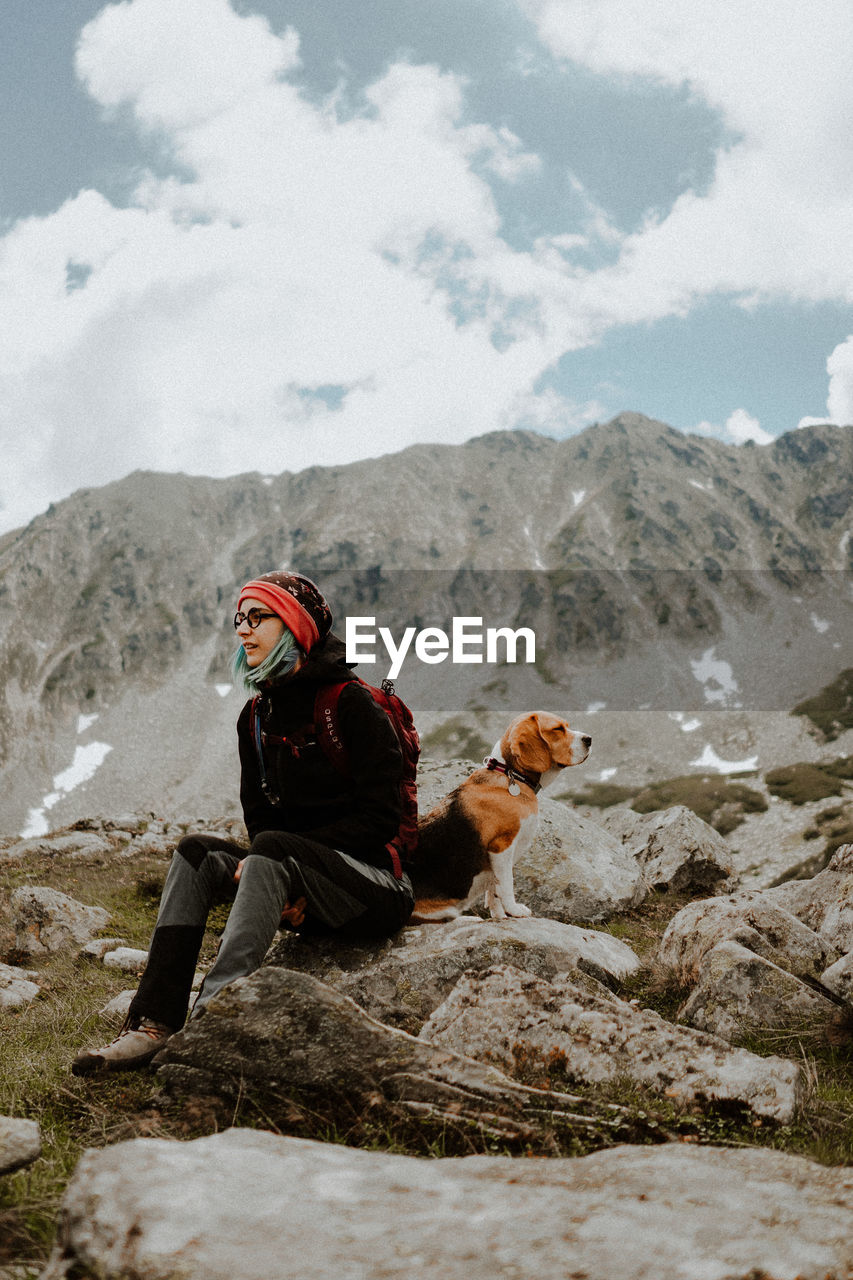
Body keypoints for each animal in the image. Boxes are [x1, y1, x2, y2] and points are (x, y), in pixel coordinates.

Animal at [409, 711, 589, 921]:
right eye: (557, 729)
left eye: (566, 726)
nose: (589, 739)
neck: (511, 775)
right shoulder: (501, 847)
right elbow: (506, 884)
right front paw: (515, 910)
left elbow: (493, 889)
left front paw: (499, 916)